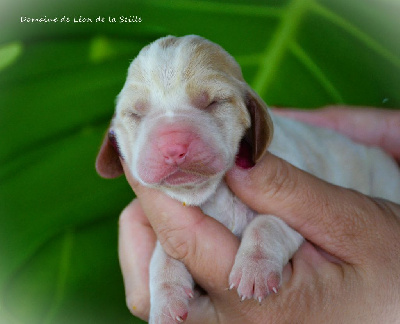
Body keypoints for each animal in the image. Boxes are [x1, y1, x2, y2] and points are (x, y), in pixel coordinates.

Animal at [96, 35, 400, 324]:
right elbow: (161, 257)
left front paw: (254, 271)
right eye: (135, 114)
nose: (172, 148)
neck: (210, 193)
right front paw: (165, 303)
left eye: (213, 102)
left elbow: (266, 224)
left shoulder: (294, 218)